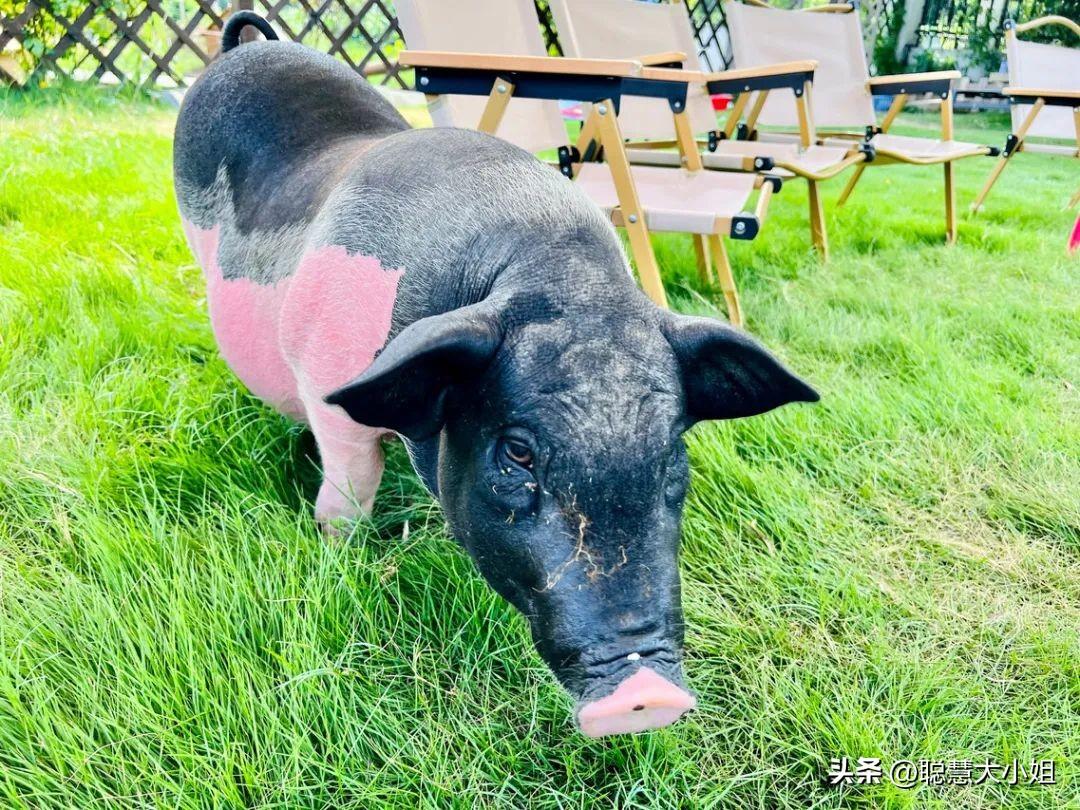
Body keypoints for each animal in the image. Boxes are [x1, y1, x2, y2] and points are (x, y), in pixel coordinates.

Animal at [172, 13, 819, 738]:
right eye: (517, 452)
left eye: (671, 453)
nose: (647, 694)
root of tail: (244, 47)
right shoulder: (329, 387)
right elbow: (350, 491)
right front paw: (342, 557)